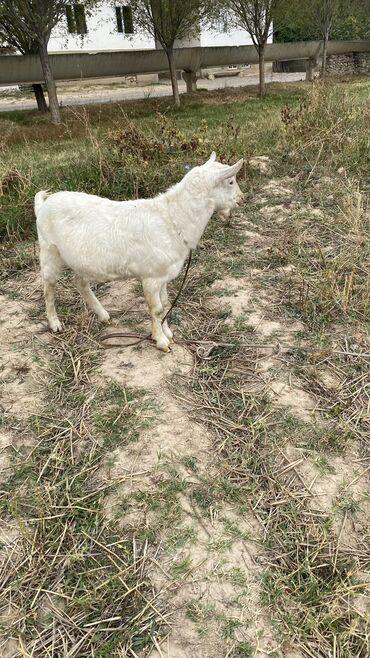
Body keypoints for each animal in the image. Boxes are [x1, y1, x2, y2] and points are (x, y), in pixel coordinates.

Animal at [34, 152, 243, 352]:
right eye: (231, 181)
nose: (242, 199)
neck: (172, 219)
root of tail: (43, 204)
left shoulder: (163, 276)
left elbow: (165, 303)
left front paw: (168, 333)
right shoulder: (150, 278)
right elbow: (156, 309)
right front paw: (161, 341)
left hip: (82, 260)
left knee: (79, 282)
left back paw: (103, 315)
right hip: (49, 250)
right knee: (49, 288)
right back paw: (55, 323)